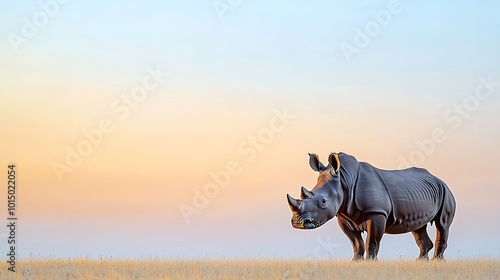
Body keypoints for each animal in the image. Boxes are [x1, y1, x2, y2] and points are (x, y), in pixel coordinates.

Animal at [288, 153, 456, 260]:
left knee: (442, 224)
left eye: (323, 202)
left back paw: (437, 262)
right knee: (418, 228)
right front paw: (356, 261)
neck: (345, 180)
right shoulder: (343, 215)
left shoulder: (376, 212)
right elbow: (356, 243)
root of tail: (438, 178)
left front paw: (370, 262)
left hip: (446, 192)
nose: (298, 223)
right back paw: (420, 262)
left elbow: (372, 241)